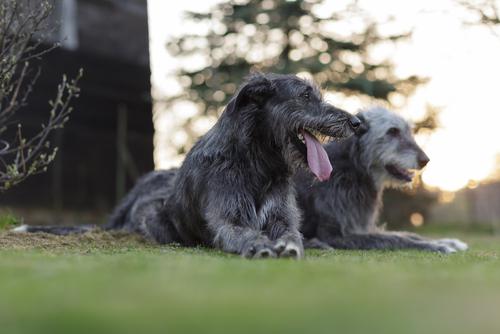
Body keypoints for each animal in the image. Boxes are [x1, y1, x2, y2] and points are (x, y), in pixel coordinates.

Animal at [14, 74, 360, 260]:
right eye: (305, 96)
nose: (356, 122)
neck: (257, 164)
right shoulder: (227, 216)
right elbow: (237, 231)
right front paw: (257, 244)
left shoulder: (282, 216)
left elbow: (291, 232)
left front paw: (289, 244)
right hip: (154, 219)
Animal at [294, 107, 466, 253]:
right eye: (392, 131)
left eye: (408, 131)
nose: (425, 160)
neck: (353, 168)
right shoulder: (336, 235)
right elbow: (393, 239)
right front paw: (436, 246)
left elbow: (406, 234)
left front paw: (447, 241)